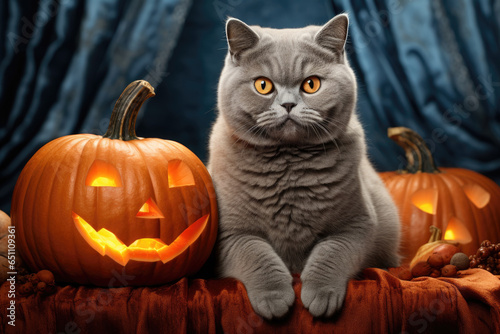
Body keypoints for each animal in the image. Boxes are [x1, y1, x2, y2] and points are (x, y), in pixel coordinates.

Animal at [207, 14, 402, 320]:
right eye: (263, 85)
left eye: (311, 84)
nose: (288, 104)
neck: (288, 167)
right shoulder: (230, 233)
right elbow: (256, 254)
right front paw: (274, 297)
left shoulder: (358, 225)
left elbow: (331, 252)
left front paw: (321, 294)